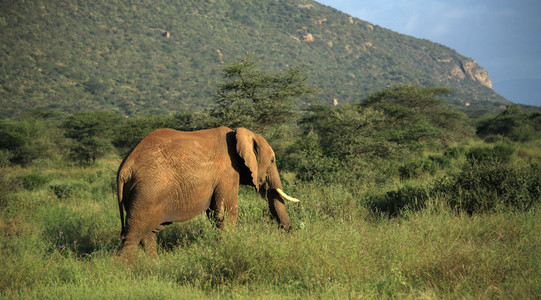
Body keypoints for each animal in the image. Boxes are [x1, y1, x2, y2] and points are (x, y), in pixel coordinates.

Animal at [116, 125, 300, 256]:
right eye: (272, 160)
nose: (289, 234)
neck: (240, 134)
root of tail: (124, 168)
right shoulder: (228, 171)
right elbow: (226, 212)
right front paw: (226, 249)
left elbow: (214, 214)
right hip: (147, 191)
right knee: (134, 233)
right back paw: (125, 270)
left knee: (147, 233)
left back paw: (153, 265)